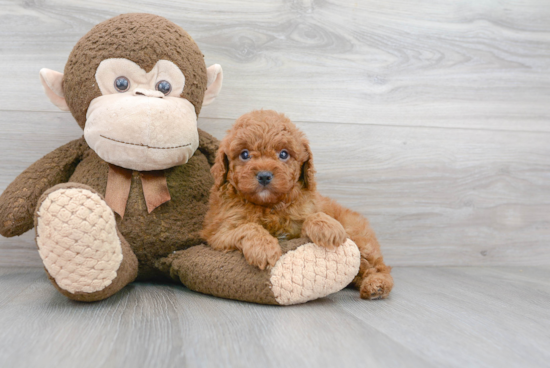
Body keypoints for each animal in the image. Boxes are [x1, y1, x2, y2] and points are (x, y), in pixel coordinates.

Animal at [203, 109, 392, 300]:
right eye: (244, 154)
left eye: (283, 154)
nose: (264, 176)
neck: (269, 206)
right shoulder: (218, 233)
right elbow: (248, 227)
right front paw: (263, 248)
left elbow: (313, 216)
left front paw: (327, 227)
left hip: (360, 238)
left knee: (377, 266)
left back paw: (377, 285)